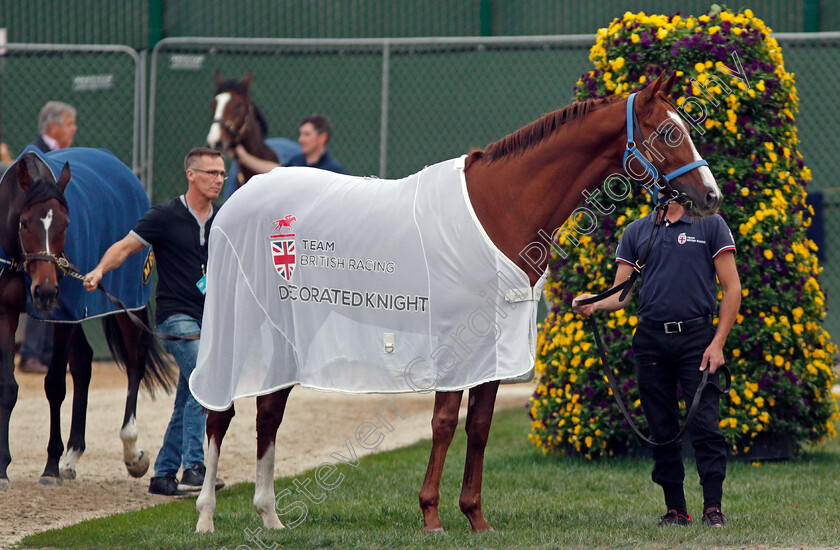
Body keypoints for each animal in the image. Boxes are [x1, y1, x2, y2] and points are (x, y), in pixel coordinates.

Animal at [0, 150, 171, 488]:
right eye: (24, 222)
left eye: (66, 224)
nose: (45, 291)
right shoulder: (5, 311)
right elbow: (8, 386)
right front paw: (2, 468)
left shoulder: (62, 315)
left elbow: (54, 384)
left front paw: (50, 467)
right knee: (83, 363)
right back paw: (72, 455)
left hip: (125, 304)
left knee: (135, 361)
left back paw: (131, 451)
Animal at [192, 73, 720, 536]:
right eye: (670, 132)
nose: (711, 196)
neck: (503, 206)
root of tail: (239, 197)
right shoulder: (452, 340)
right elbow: (445, 423)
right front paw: (431, 516)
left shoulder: (496, 346)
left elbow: (479, 427)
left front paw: (476, 518)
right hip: (238, 324)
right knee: (219, 413)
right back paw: (206, 517)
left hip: (283, 330)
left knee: (268, 413)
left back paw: (270, 517)